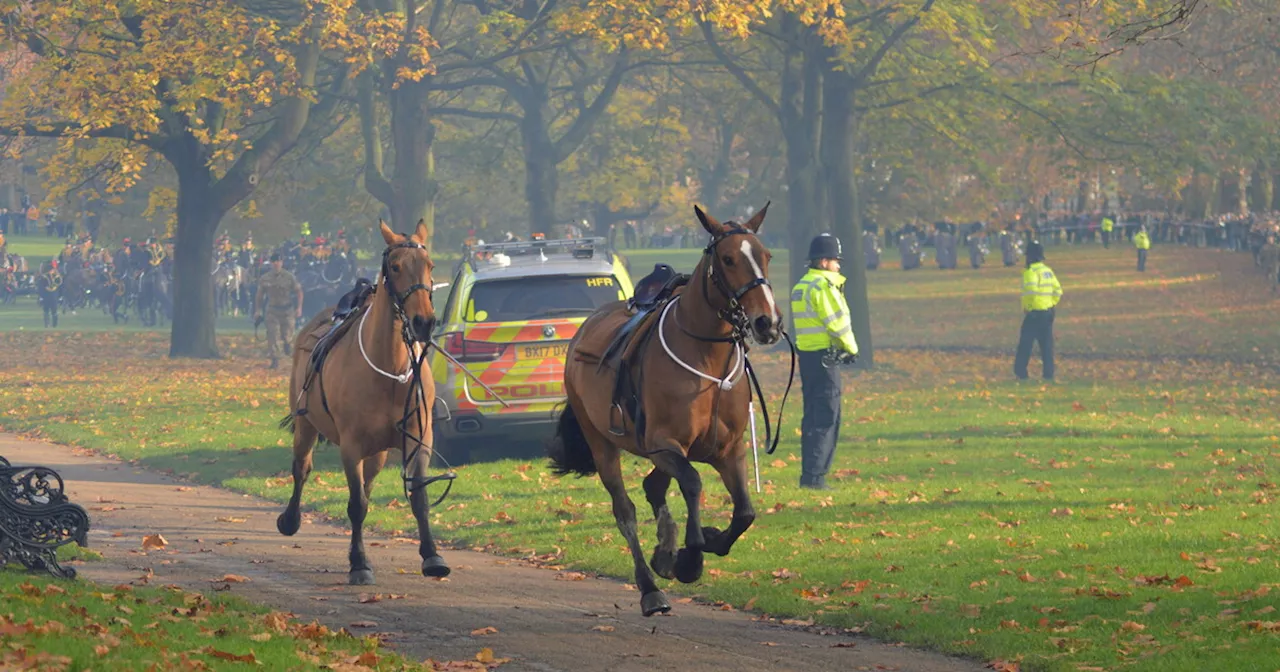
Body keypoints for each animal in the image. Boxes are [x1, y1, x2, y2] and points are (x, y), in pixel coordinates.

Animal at [275, 218, 450, 581]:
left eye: (429, 265)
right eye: (395, 266)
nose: (424, 322)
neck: (390, 371)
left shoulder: (418, 438)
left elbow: (418, 497)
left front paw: (432, 555)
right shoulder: (351, 444)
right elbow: (356, 505)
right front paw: (359, 562)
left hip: (378, 451)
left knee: (367, 485)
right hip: (306, 423)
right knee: (302, 468)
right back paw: (291, 518)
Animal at [547, 203, 778, 611]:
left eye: (765, 255)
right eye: (728, 259)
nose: (767, 321)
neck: (707, 363)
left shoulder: (729, 450)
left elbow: (745, 513)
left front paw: (702, 540)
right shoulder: (665, 444)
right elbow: (693, 482)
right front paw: (691, 555)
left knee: (653, 485)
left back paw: (665, 549)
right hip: (602, 442)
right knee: (625, 510)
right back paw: (650, 586)